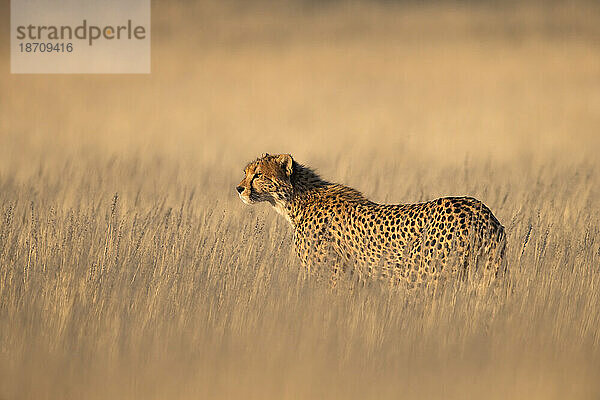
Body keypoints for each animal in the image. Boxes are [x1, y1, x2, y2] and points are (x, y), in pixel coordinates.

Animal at [236, 153, 506, 288]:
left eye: (258, 175)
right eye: (246, 172)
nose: (238, 188)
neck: (296, 201)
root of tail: (479, 209)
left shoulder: (332, 275)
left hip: (423, 278)